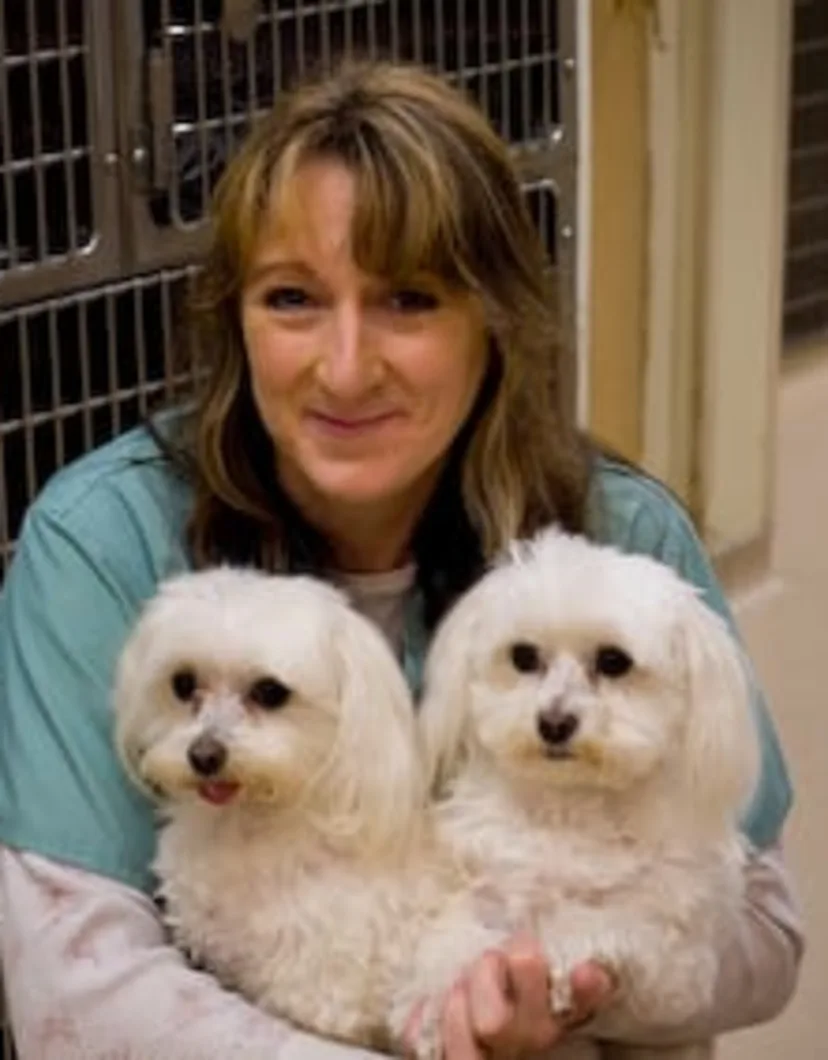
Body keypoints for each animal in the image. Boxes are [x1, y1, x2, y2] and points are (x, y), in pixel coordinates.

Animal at [402, 530, 759, 1060]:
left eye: (614, 662)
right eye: (523, 656)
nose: (553, 723)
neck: (569, 806)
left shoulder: (675, 967)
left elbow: (598, 918)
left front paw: (559, 946)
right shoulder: (485, 887)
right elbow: (456, 935)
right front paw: (432, 997)